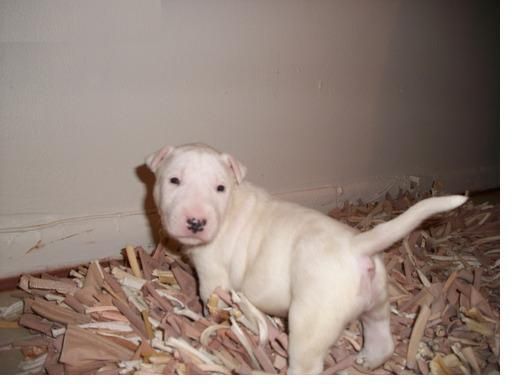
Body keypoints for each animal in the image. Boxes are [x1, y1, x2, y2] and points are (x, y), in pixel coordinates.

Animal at [145, 142, 468, 374]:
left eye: (220, 187)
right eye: (174, 180)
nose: (195, 222)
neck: (231, 204)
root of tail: (356, 246)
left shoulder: (212, 273)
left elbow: (211, 299)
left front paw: (205, 318)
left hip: (310, 321)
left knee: (308, 364)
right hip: (376, 303)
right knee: (381, 337)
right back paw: (367, 360)